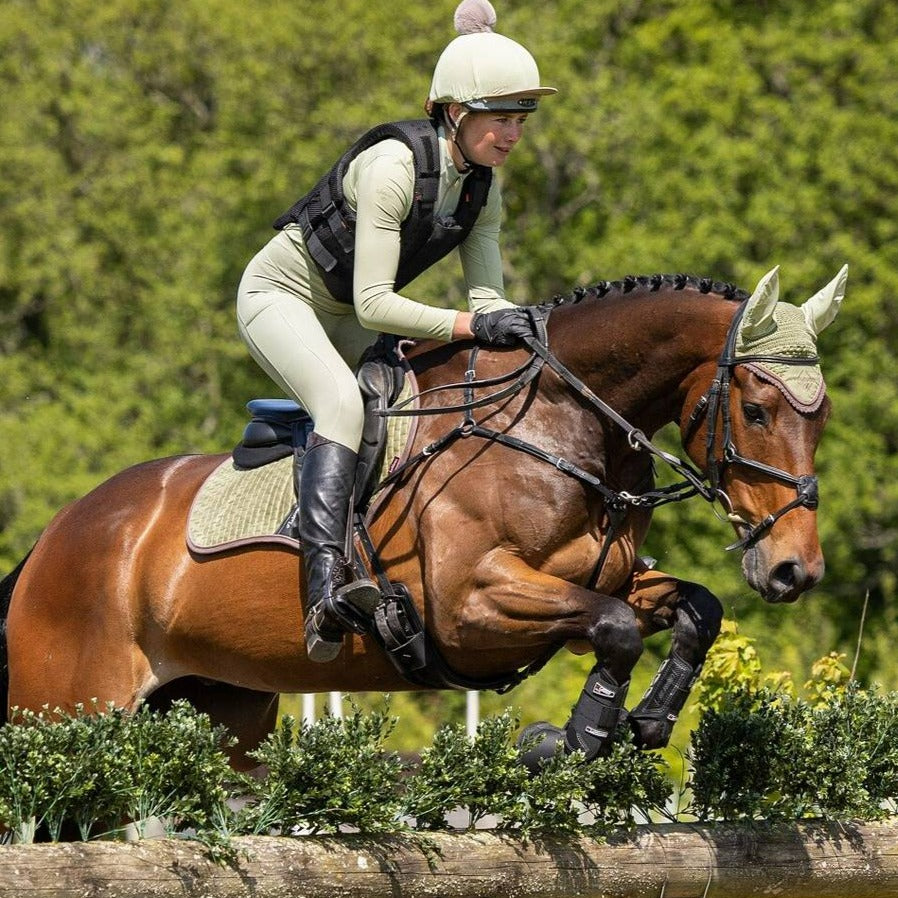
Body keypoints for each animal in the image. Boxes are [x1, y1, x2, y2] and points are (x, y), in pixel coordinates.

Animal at [0, 262, 844, 768]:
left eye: (822, 415)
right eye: (759, 410)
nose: (794, 570)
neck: (562, 420)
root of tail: (52, 538)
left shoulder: (604, 579)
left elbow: (694, 610)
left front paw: (646, 726)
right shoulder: (472, 606)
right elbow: (614, 629)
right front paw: (569, 741)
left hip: (219, 711)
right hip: (62, 711)